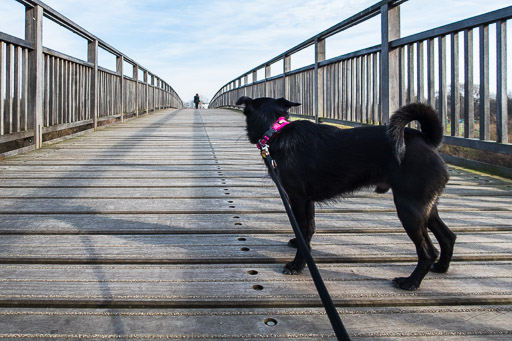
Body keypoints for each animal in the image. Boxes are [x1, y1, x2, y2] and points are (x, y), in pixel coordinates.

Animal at [236, 95, 456, 290]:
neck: (275, 131)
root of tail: (427, 141)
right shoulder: (308, 201)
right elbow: (309, 228)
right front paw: (300, 245)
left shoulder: (297, 199)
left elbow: (303, 229)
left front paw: (297, 265)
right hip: (424, 208)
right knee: (448, 237)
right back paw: (441, 267)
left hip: (409, 209)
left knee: (428, 251)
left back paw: (411, 282)